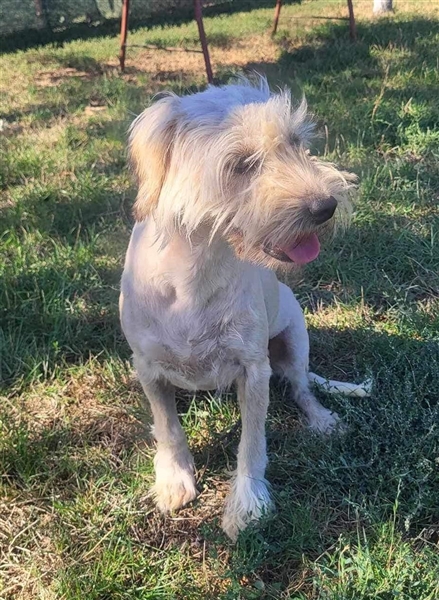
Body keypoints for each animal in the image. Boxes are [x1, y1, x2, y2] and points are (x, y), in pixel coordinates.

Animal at [120, 77, 365, 540]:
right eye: (241, 163)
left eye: (295, 141)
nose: (326, 207)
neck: (195, 272)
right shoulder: (147, 368)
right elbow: (168, 428)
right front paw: (174, 479)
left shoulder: (253, 371)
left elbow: (252, 444)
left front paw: (248, 504)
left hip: (295, 339)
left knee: (301, 386)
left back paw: (322, 419)